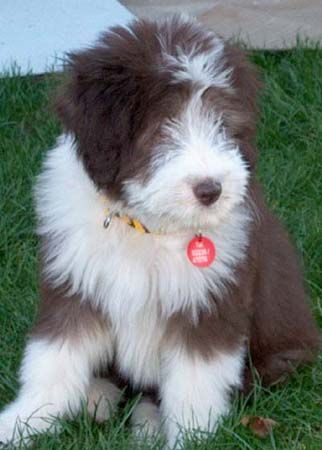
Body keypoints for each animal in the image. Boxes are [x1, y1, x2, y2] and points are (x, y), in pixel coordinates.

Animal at [0, 15, 318, 448]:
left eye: (221, 124)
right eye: (163, 128)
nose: (211, 190)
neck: (145, 225)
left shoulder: (210, 305)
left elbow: (194, 390)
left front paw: (188, 440)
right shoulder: (74, 287)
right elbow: (52, 361)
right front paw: (23, 422)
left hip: (280, 356)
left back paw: (144, 422)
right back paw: (98, 398)